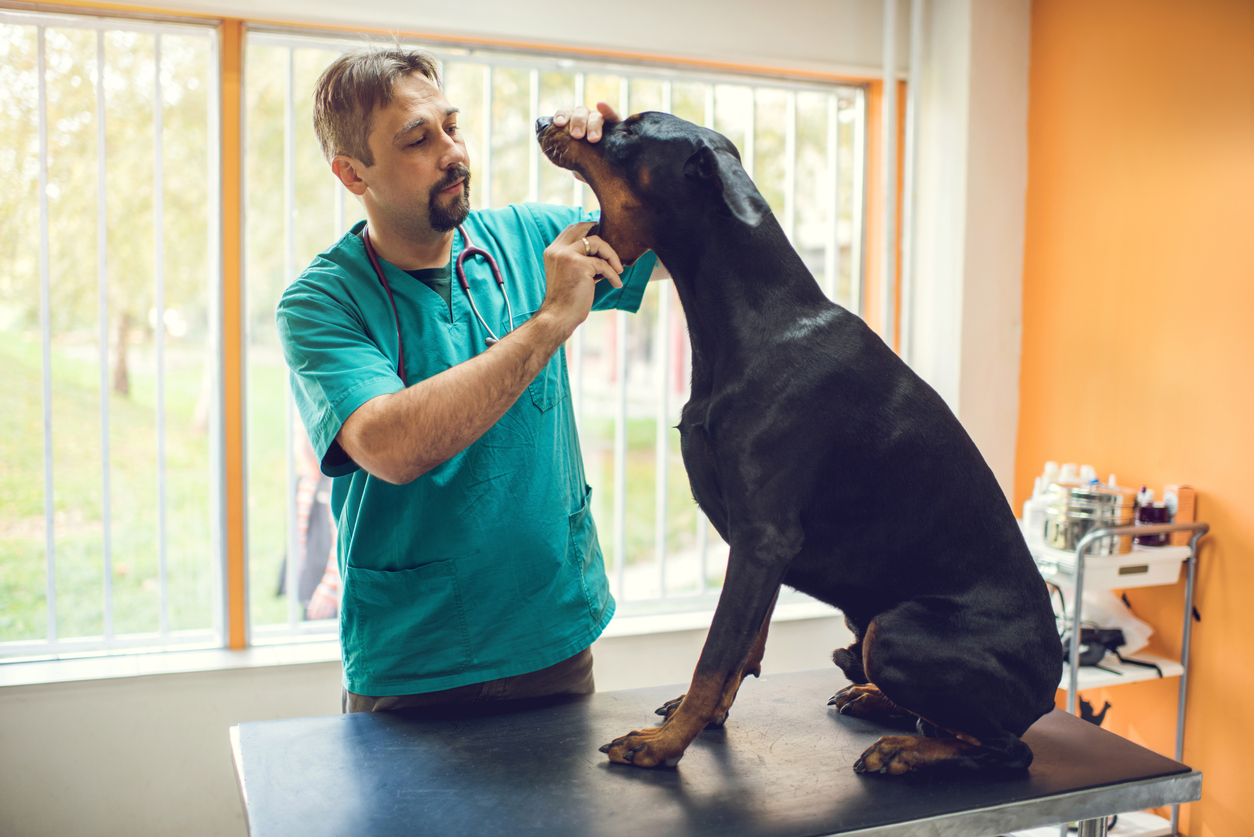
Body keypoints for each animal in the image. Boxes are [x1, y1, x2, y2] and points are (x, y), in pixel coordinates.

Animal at [534, 112, 1063, 778]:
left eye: (629, 131)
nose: (545, 120)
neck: (755, 321)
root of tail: (1050, 687)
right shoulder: (760, 545)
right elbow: (744, 643)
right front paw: (704, 718)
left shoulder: (764, 537)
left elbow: (717, 650)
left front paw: (665, 745)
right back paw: (877, 700)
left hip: (894, 629)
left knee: (1006, 748)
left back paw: (904, 749)